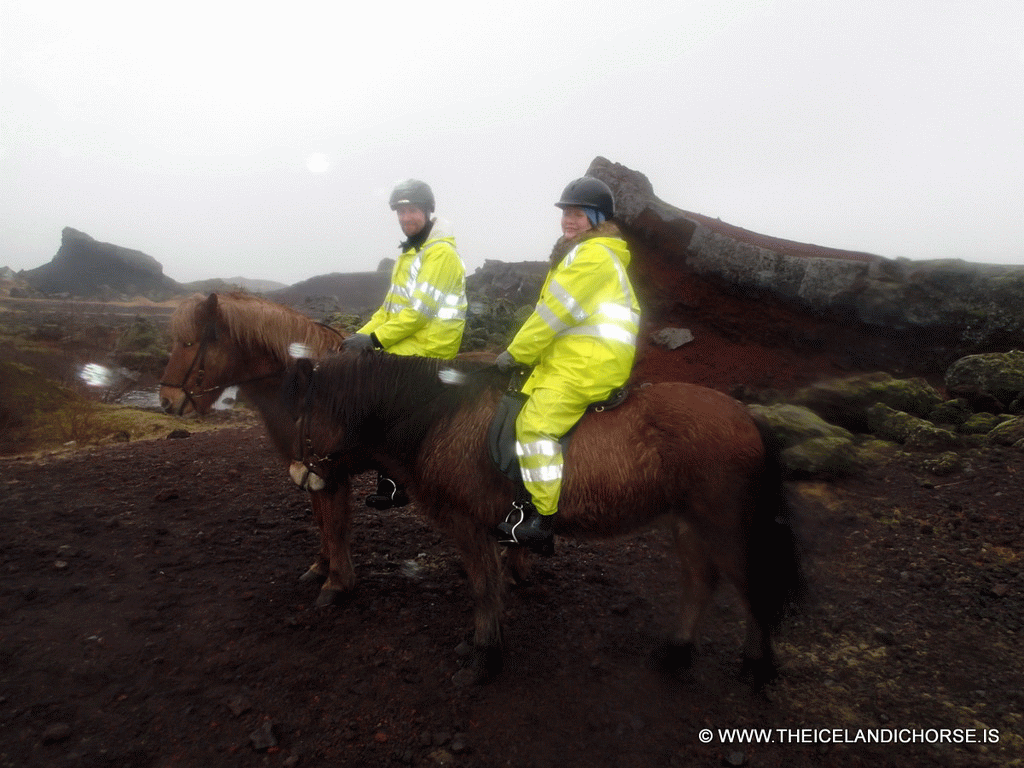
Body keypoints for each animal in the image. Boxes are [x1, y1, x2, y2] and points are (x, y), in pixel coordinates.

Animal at [155, 290, 356, 593]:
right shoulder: (307, 469)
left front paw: (336, 582)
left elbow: (335, 524)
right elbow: (322, 519)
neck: (309, 390)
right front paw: (321, 566)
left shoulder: (332, 471)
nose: (166, 401)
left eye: (189, 343)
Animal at [284, 352, 802, 688]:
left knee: (752, 586)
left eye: (303, 419)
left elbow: (483, 590)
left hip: (723, 526)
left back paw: (757, 666)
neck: (441, 416)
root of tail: (747, 415)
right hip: (688, 524)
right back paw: (677, 652)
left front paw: (484, 657)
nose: (299, 474)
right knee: (700, 582)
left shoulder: (470, 527)